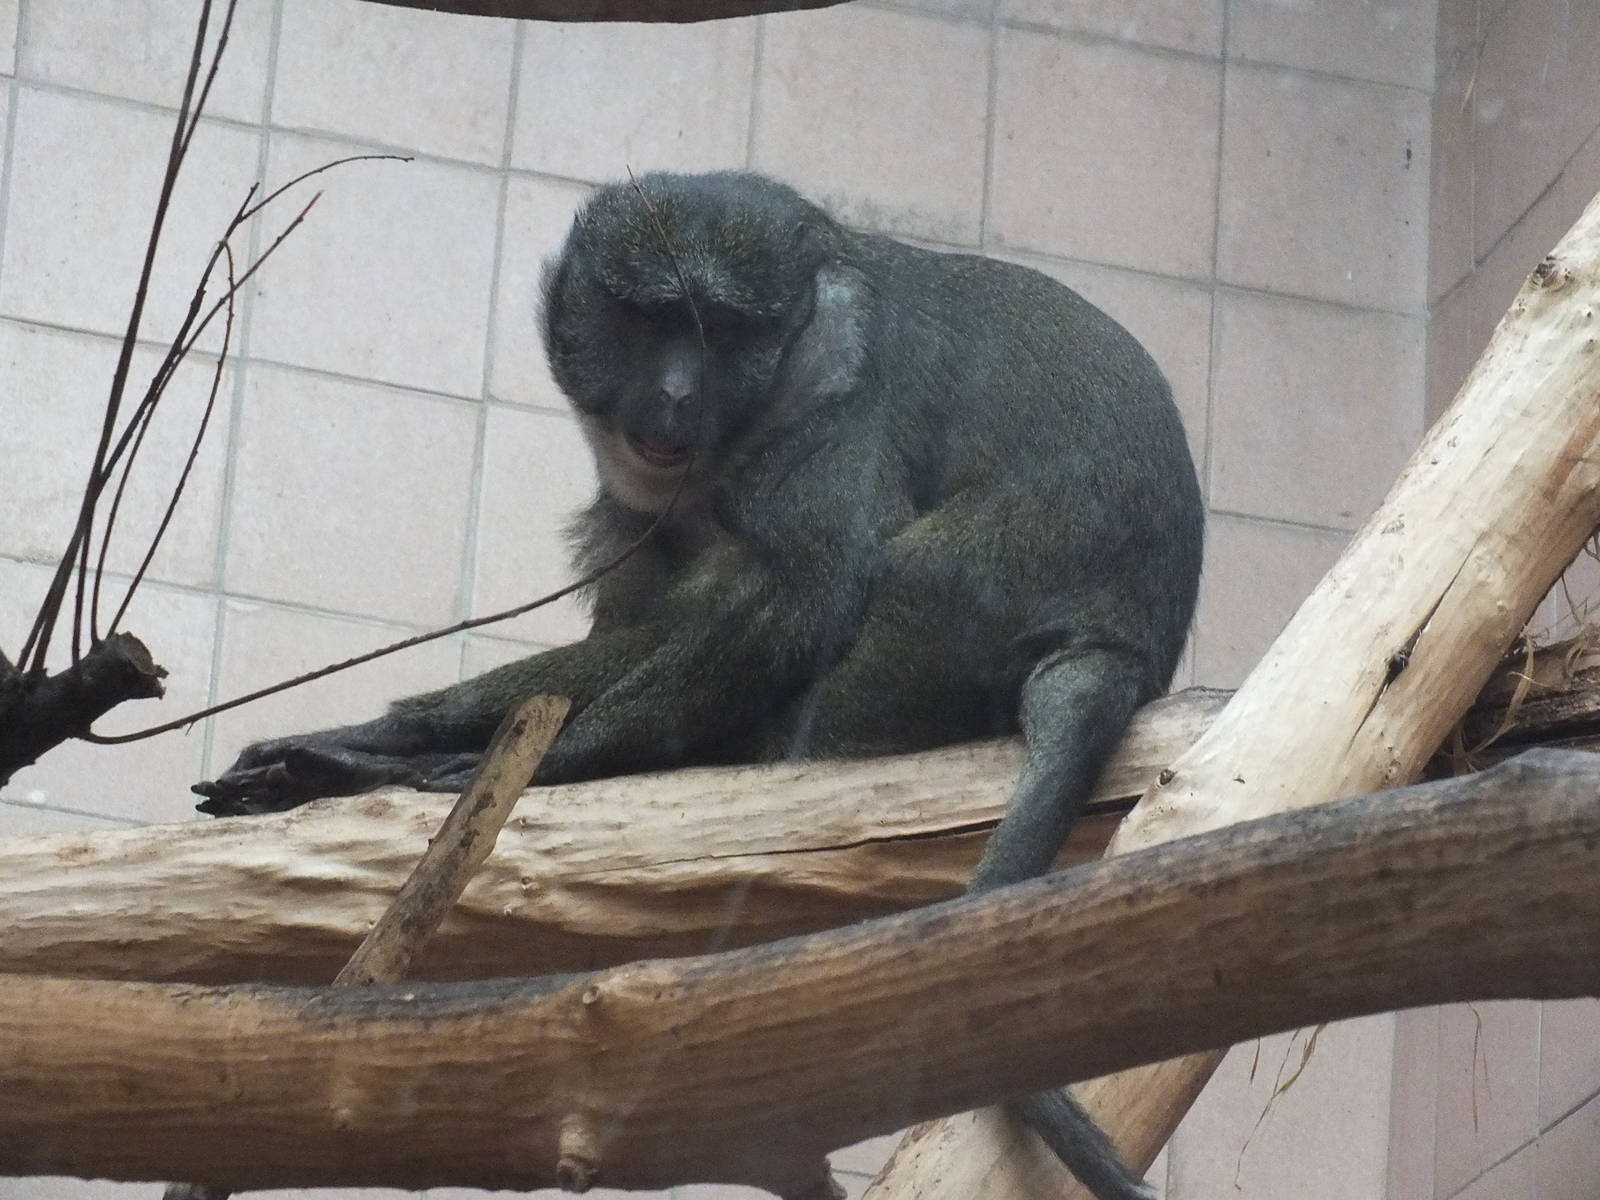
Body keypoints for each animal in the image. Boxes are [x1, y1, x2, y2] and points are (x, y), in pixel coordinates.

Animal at [194, 170, 1203, 1200]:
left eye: (720, 331)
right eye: (652, 321)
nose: (678, 392)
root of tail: (1121, 648)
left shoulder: (841, 374)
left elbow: (799, 592)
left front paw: (461, 752)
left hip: (940, 618)